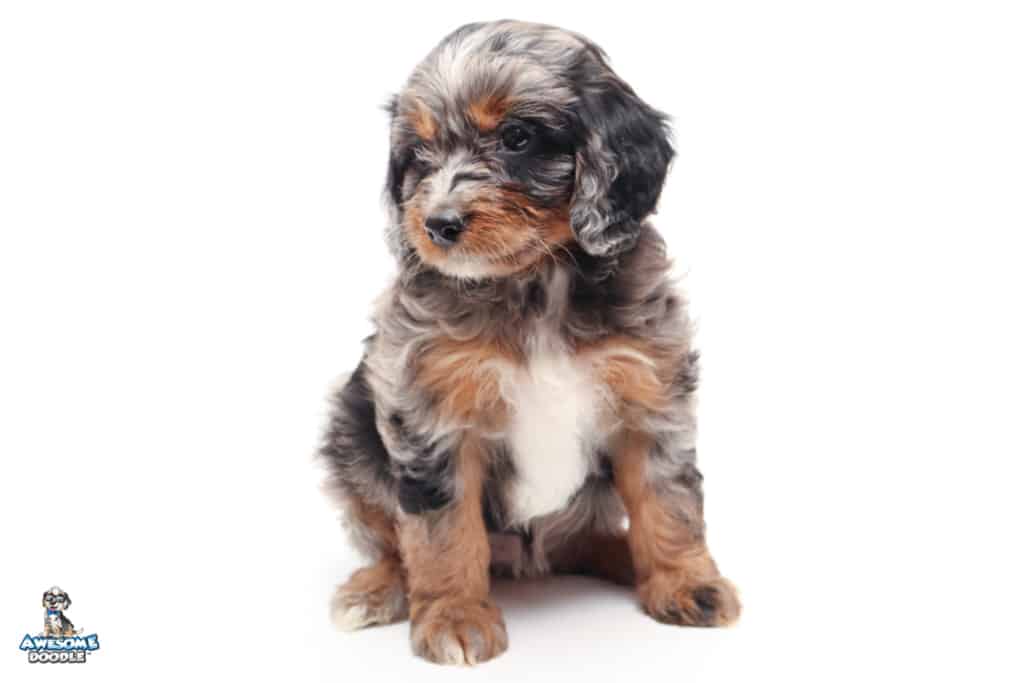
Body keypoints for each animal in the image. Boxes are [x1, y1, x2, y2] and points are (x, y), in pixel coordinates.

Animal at [320, 20, 740, 665]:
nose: (437, 225)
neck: (536, 283)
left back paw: (624, 557)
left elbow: (668, 500)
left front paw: (685, 582)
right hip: (351, 431)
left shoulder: (651, 396)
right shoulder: (428, 411)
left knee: (584, 539)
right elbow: (441, 530)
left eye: (516, 137)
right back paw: (378, 587)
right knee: (393, 538)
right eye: (418, 156)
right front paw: (454, 615)